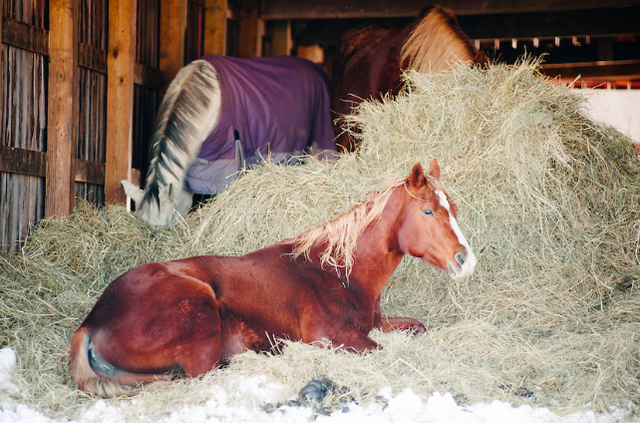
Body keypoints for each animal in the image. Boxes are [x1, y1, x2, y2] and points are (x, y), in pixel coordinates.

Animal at [72, 159, 478, 398]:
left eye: (455, 209)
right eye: (428, 211)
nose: (466, 260)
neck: (337, 272)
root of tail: (91, 322)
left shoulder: (376, 324)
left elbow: (416, 327)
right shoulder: (331, 338)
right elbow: (379, 351)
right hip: (200, 316)